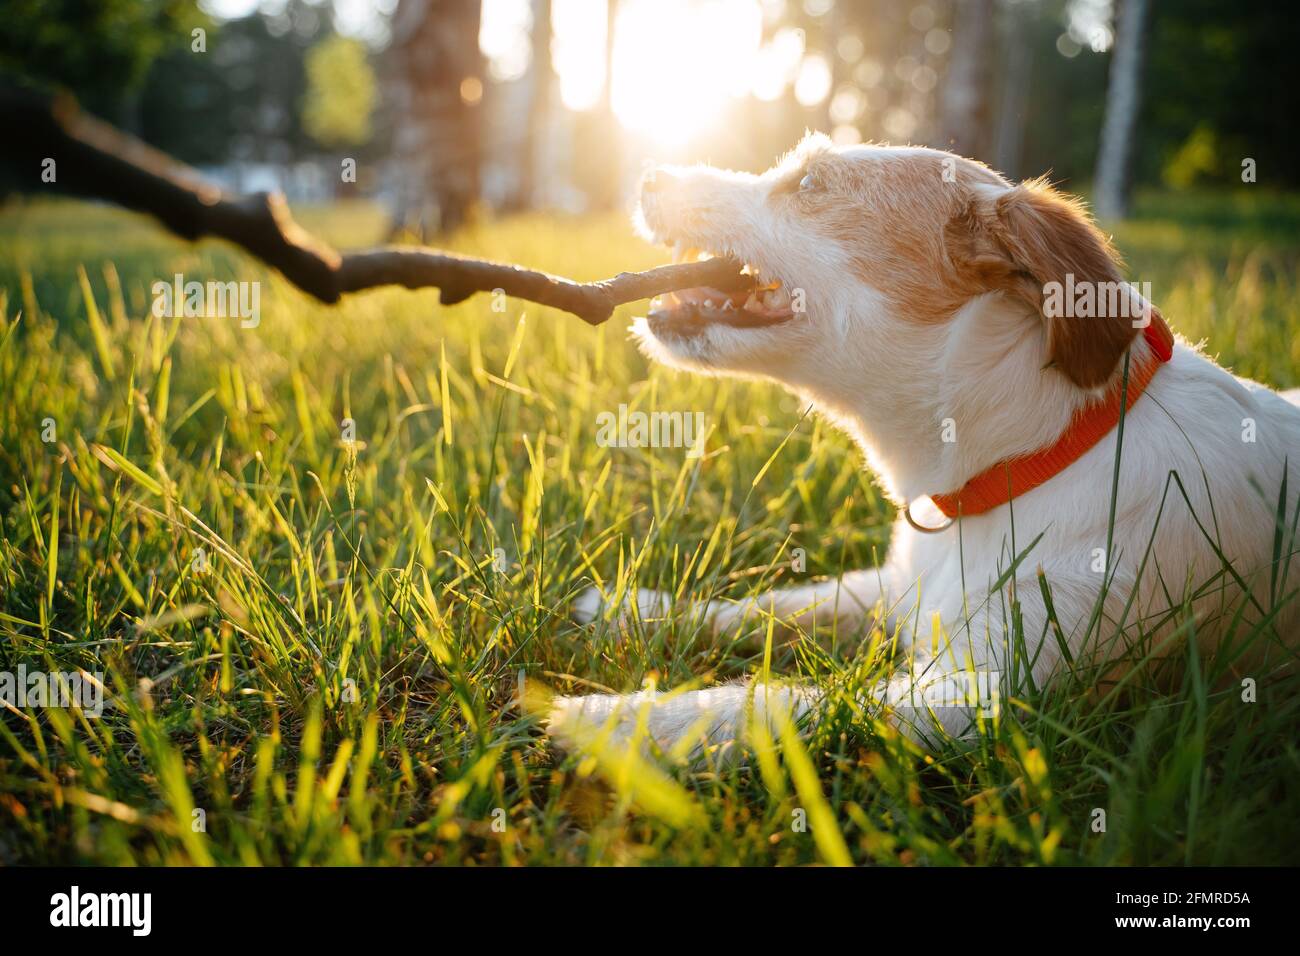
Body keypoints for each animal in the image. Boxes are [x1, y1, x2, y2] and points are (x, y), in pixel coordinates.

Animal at [548, 134, 1300, 754]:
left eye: (810, 182)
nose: (649, 173)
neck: (1027, 458)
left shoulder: (976, 696)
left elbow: (770, 706)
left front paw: (615, 721)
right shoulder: (893, 589)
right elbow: (776, 605)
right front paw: (639, 609)